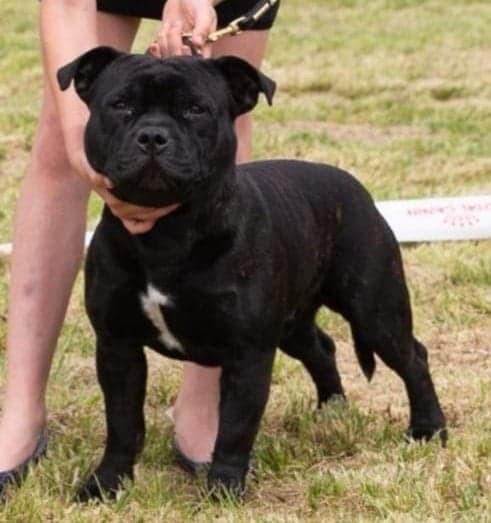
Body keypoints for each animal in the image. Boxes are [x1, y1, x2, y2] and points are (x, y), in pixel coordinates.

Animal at [57, 47, 446, 501]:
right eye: (120, 105)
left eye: (196, 109)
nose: (153, 135)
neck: (168, 233)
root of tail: (354, 187)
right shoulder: (117, 346)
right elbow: (122, 423)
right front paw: (106, 484)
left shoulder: (248, 353)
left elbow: (235, 428)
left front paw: (224, 487)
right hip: (294, 323)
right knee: (323, 348)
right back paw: (331, 410)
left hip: (375, 310)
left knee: (412, 357)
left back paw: (428, 429)